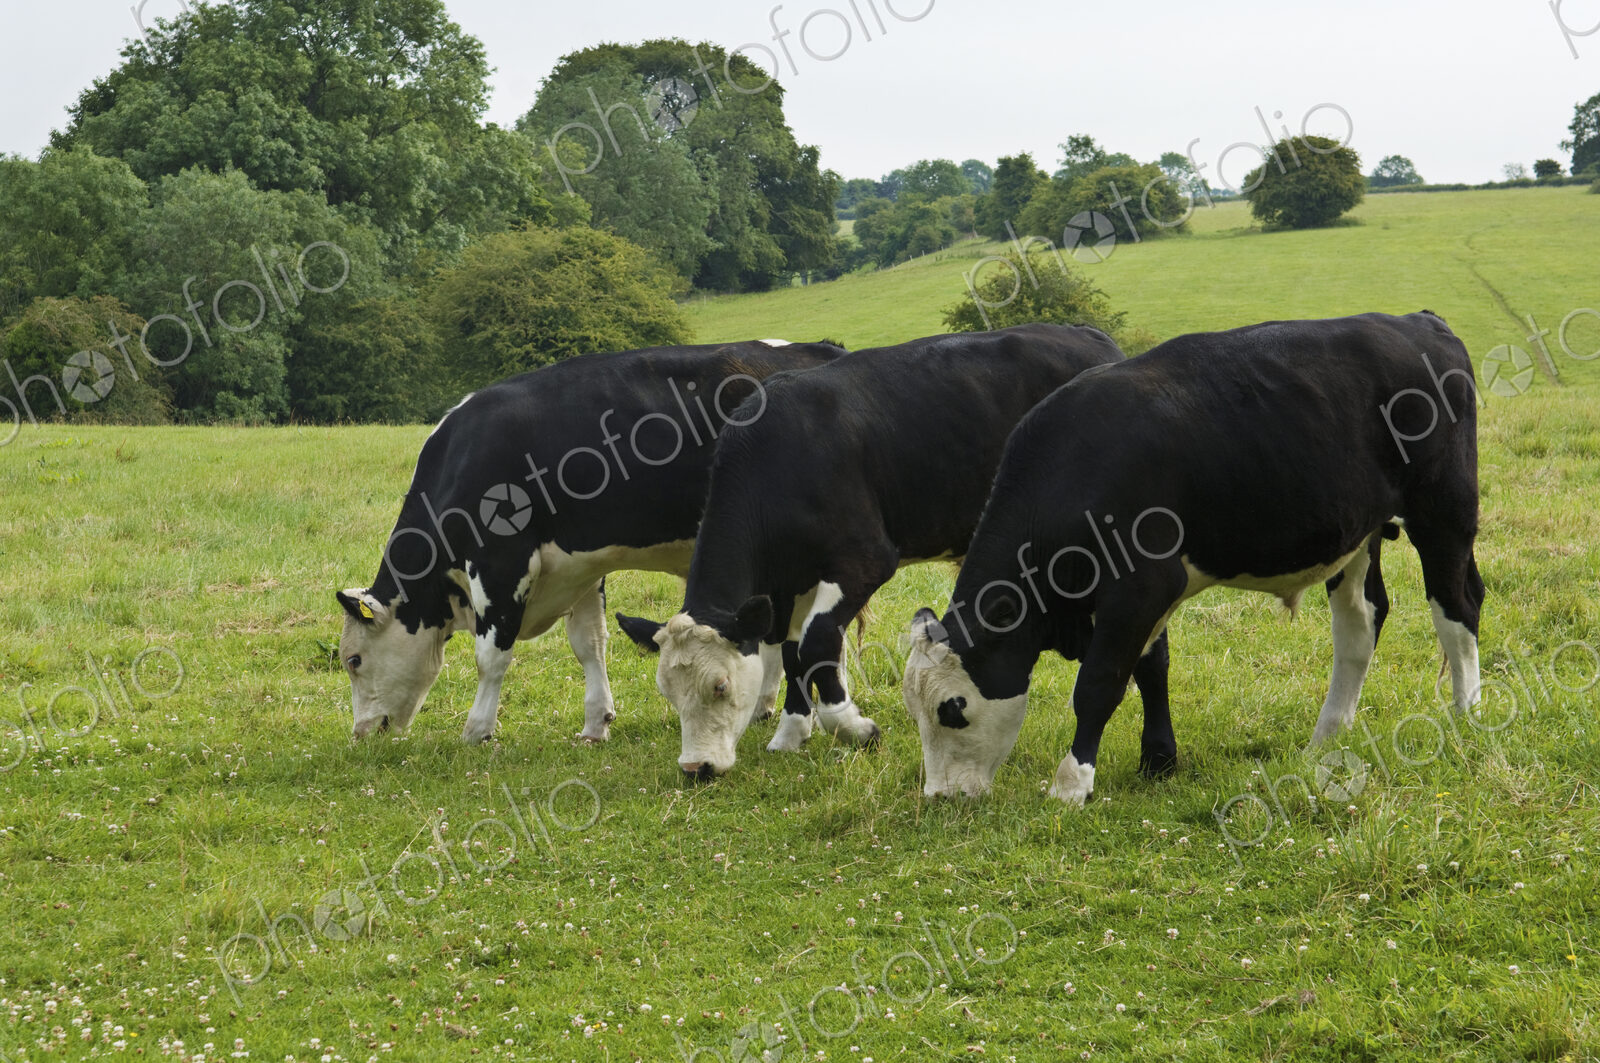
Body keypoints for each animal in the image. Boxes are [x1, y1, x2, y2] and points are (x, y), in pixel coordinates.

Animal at [335, 339, 847, 745]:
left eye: (354, 660)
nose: (361, 733)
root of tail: (825, 349)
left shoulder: (500, 563)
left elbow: (490, 657)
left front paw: (477, 730)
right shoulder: (579, 566)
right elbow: (589, 644)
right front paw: (596, 723)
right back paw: (764, 706)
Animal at [647, 323, 1150, 778]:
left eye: (719, 685)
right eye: (667, 693)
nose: (697, 767)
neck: (778, 455)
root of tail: (1087, 334)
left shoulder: (864, 561)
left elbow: (816, 642)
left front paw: (853, 728)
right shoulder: (788, 582)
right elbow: (792, 654)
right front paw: (791, 733)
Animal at [903, 311, 1484, 805]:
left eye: (952, 711)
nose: (939, 797)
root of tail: (1417, 321)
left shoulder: (1139, 587)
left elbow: (1099, 683)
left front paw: (1071, 785)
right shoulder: (1146, 597)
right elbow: (1150, 669)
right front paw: (1158, 761)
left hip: (1444, 511)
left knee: (1457, 604)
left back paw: (1465, 713)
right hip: (1358, 532)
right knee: (1361, 622)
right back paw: (1326, 735)